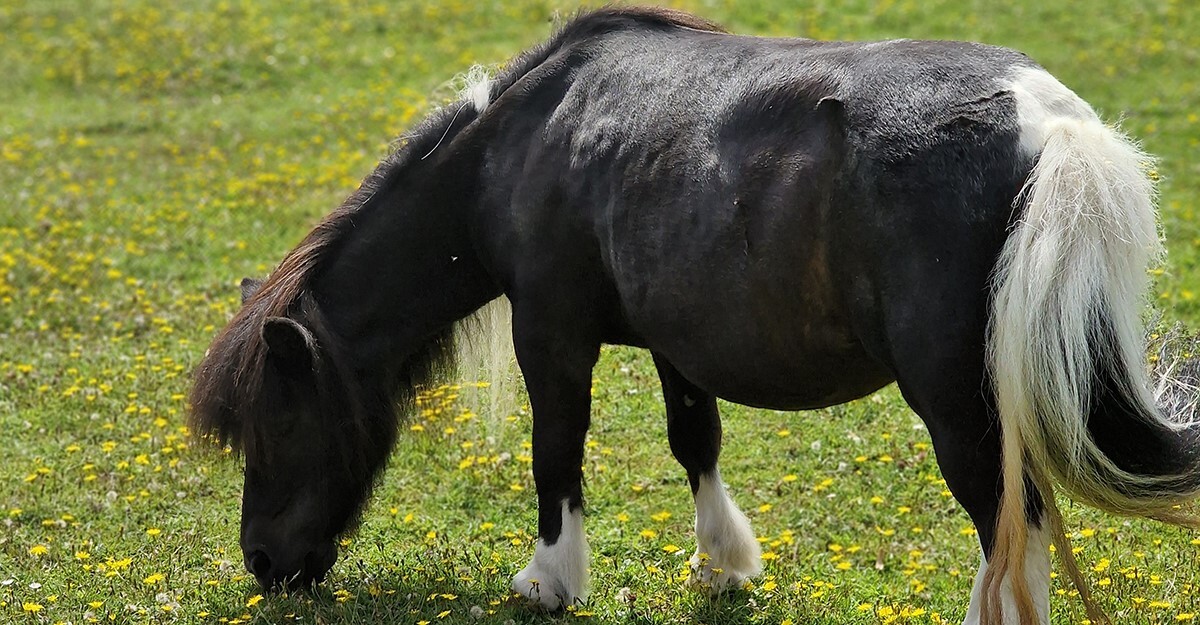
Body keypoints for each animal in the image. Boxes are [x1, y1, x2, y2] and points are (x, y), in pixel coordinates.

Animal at [188, 7, 1200, 625]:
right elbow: (694, 438)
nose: (264, 563)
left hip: (961, 410)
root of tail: (1049, 124)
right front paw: (724, 563)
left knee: (1007, 527)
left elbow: (556, 451)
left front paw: (548, 579)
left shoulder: (550, 332)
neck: (520, 138)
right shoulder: (677, 340)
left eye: (279, 425)